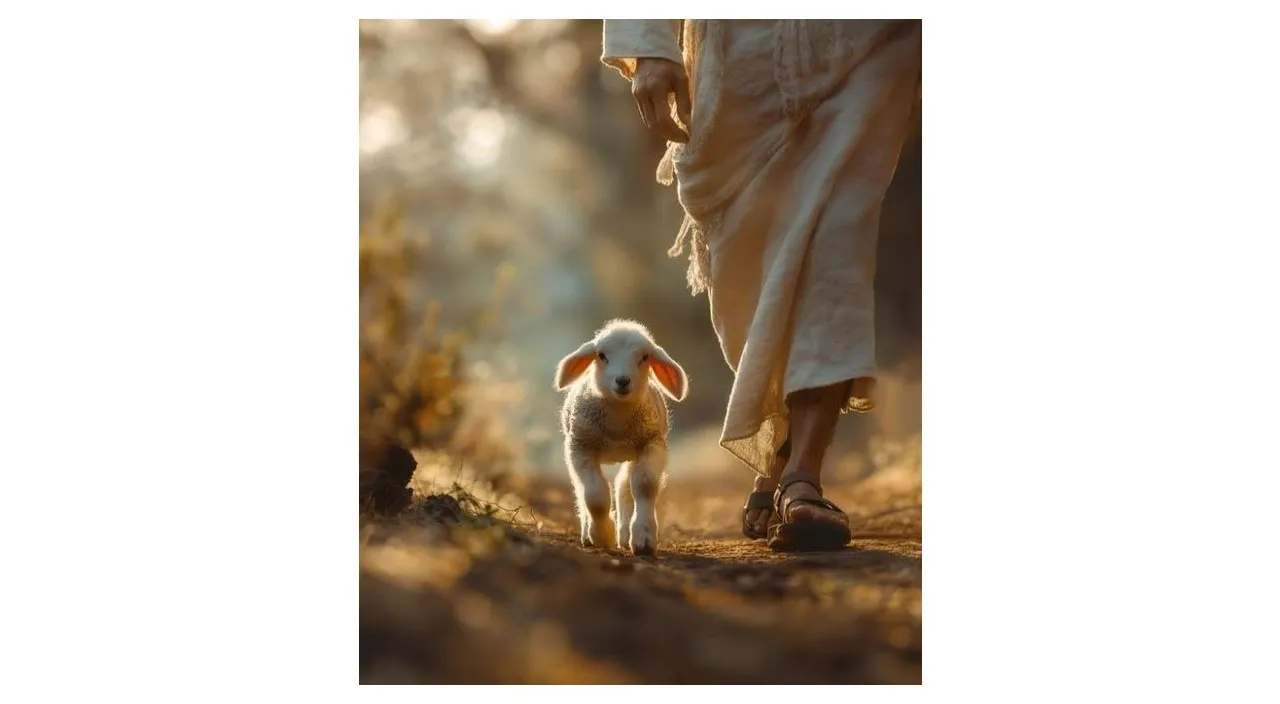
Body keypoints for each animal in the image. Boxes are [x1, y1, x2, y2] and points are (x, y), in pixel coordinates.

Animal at [552, 320, 691, 558]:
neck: (617, 422)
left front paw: (644, 539)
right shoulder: (580, 447)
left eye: (645, 357)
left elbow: (645, 485)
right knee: (582, 490)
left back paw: (625, 535)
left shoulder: (652, 443)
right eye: (601, 355)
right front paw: (601, 535)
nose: (623, 380)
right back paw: (587, 534)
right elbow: (595, 495)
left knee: (624, 485)